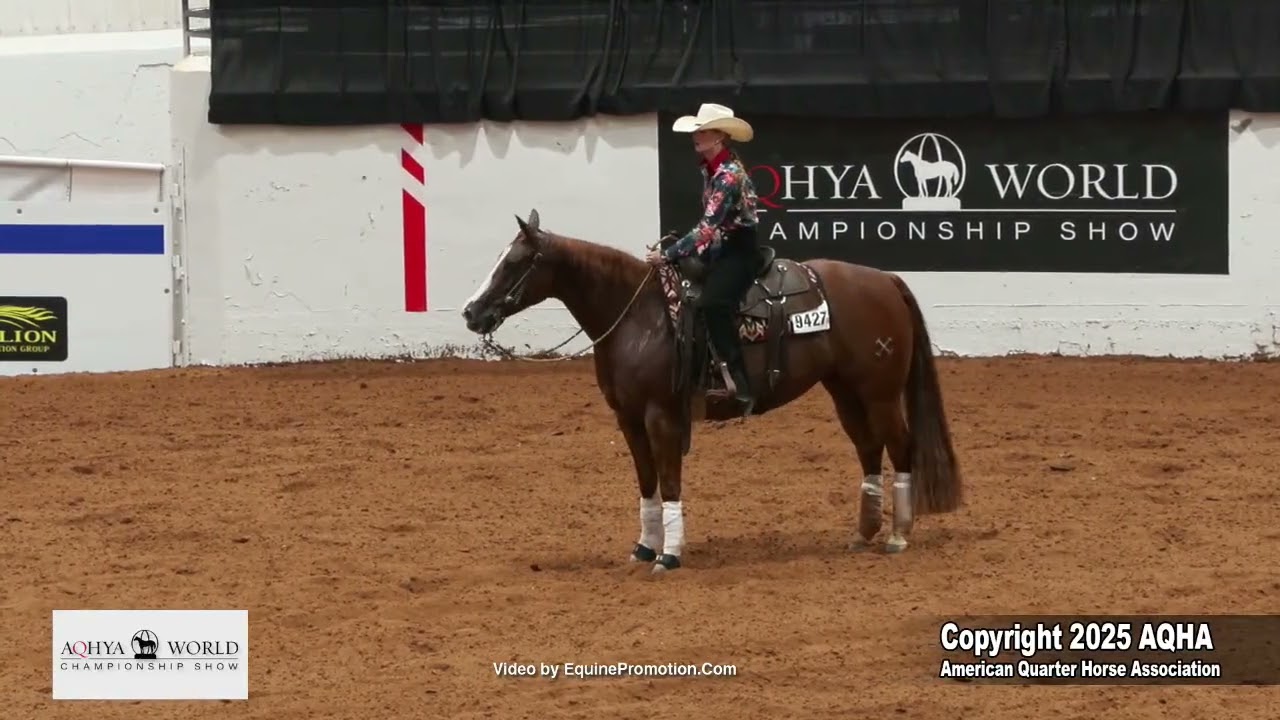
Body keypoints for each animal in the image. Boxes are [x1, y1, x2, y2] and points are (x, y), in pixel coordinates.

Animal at [461, 209, 963, 574]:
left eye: (514, 262)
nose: (470, 312)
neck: (638, 316)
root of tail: (885, 280)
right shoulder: (628, 419)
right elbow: (646, 482)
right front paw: (644, 548)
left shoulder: (662, 416)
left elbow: (669, 481)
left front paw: (670, 554)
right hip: (845, 390)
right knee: (868, 448)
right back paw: (863, 534)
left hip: (880, 392)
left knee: (900, 446)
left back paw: (898, 534)